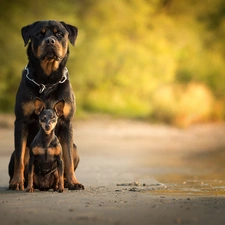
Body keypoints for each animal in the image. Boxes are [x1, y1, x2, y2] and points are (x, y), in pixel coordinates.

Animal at [8, 20, 84, 191]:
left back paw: (63, 182)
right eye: (39, 34)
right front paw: (17, 182)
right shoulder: (21, 121)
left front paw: (74, 182)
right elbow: (20, 158)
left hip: (76, 147)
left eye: (59, 33)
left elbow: (68, 159)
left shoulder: (66, 122)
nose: (50, 41)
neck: (47, 81)